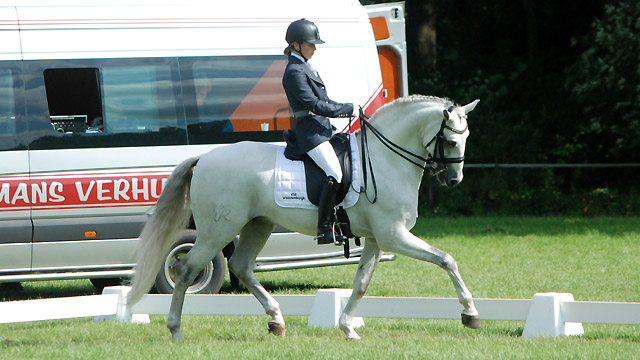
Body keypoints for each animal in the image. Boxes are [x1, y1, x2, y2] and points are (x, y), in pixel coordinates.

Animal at [129, 95, 480, 340]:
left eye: (466, 138)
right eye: (451, 140)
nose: (454, 180)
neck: (385, 160)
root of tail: (204, 157)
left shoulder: (377, 238)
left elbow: (361, 284)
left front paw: (347, 328)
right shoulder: (394, 235)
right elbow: (447, 259)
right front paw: (470, 313)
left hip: (258, 224)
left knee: (241, 266)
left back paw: (276, 320)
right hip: (218, 230)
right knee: (186, 270)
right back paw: (176, 330)